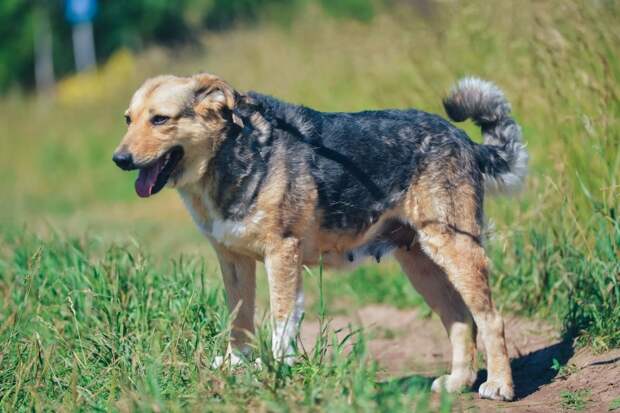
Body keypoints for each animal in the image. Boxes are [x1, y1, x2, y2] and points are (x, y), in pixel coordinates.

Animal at [112, 73, 528, 400]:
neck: (230, 155)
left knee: (491, 319)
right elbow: (239, 321)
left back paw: (499, 386)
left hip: (455, 248)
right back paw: (458, 383)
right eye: (128, 120)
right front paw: (235, 368)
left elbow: (281, 322)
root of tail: (465, 140)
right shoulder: (234, 261)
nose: (119, 160)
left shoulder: (282, 253)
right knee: (460, 319)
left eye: (160, 119)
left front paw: (275, 373)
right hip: (420, 264)